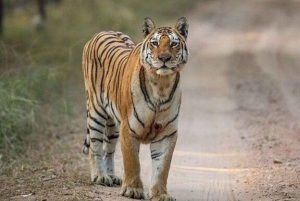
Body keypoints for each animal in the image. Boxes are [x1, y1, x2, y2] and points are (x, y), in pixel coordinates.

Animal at [81, 17, 189, 201]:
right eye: (155, 43)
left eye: (174, 44)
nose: (164, 58)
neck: (161, 85)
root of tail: (101, 32)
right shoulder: (129, 128)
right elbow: (132, 161)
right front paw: (132, 190)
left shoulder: (167, 133)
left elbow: (162, 168)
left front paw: (160, 194)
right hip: (96, 111)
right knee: (95, 145)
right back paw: (100, 176)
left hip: (113, 124)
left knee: (108, 149)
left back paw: (112, 176)